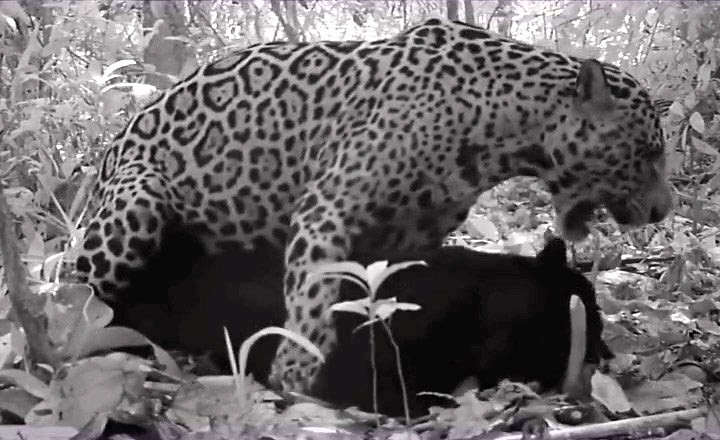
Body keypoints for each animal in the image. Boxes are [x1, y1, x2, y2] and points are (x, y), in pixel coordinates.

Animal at [76, 17, 672, 394]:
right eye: (648, 153)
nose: (665, 209)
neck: (505, 127)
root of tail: (106, 161)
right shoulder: (325, 209)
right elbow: (312, 298)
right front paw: (295, 375)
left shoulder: (410, 233)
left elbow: (385, 292)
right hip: (138, 199)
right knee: (86, 293)